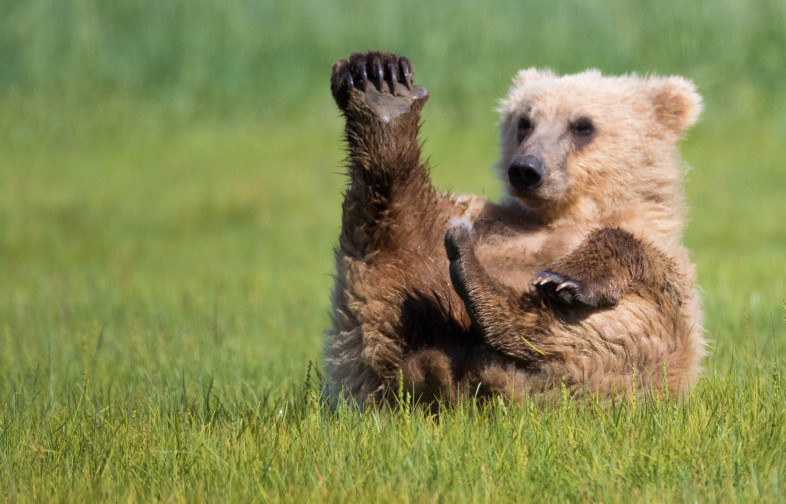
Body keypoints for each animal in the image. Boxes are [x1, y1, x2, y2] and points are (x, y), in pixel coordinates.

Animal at [324, 51, 704, 408]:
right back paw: (381, 89)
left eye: (582, 125)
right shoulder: (490, 221)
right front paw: (373, 69)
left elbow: (634, 253)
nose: (526, 168)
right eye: (525, 122)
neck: (564, 214)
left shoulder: (666, 259)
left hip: (622, 364)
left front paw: (566, 278)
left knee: (598, 330)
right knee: (394, 228)